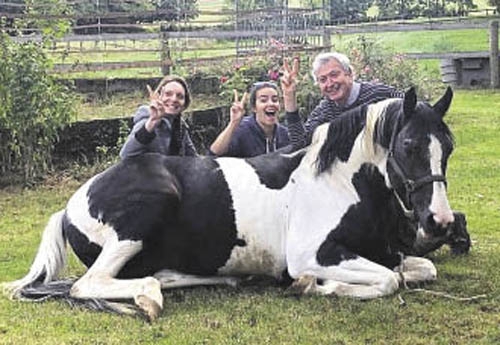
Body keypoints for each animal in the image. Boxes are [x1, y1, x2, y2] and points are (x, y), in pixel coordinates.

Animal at [2, 86, 464, 320]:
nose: (439, 221)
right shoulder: (313, 255)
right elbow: (387, 281)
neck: (337, 182)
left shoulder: (384, 252)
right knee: (88, 284)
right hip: (146, 210)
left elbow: (418, 270)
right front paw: (316, 286)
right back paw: (149, 299)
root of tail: (69, 207)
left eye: (449, 147)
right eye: (408, 145)